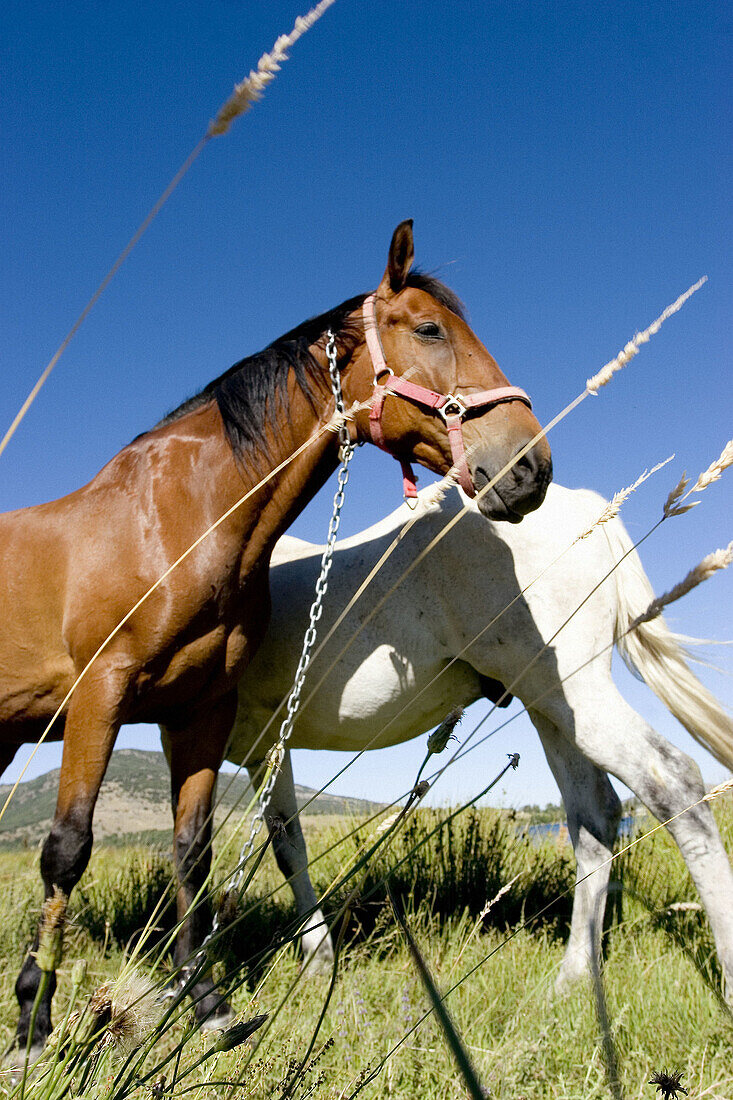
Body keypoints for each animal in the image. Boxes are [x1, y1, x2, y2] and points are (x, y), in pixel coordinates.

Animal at [0, 216, 548, 1047]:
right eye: (428, 328)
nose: (529, 468)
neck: (181, 521)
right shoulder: (100, 695)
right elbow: (67, 849)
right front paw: (34, 1016)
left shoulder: (200, 707)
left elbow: (191, 851)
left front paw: (205, 1003)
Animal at [165, 486, 730, 994]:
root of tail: (585, 504)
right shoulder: (265, 749)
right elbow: (288, 848)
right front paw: (317, 960)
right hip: (550, 703)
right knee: (594, 814)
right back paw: (573, 978)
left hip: (572, 690)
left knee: (671, 779)